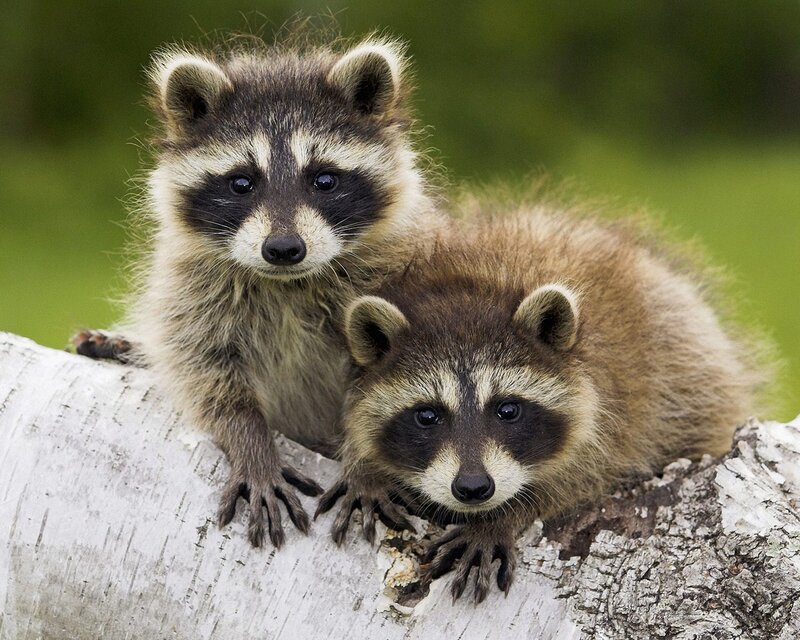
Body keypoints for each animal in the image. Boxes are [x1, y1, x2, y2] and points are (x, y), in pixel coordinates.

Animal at [72, 35, 443, 548]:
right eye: (242, 182)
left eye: (324, 179)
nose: (284, 248)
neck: (287, 283)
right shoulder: (192, 287)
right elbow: (205, 370)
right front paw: (250, 441)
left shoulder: (399, 275)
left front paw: (366, 466)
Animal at [321, 204, 762, 602]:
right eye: (427, 415)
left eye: (508, 410)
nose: (473, 488)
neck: (471, 284)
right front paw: (364, 466)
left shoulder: (617, 404)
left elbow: (586, 472)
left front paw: (505, 515)